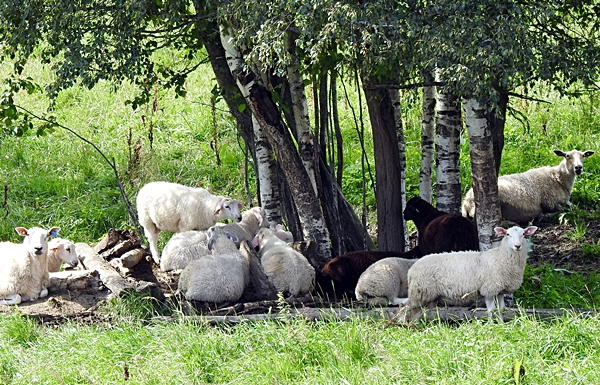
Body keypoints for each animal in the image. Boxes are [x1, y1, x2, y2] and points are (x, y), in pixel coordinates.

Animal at [400, 225, 536, 320]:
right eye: (507, 234)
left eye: (524, 234)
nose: (517, 246)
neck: (500, 257)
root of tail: (411, 269)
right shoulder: (488, 290)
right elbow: (491, 311)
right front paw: (492, 327)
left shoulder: (500, 291)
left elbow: (500, 310)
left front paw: (502, 325)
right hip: (419, 292)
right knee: (404, 307)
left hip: (427, 296)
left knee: (417, 312)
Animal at [462, 149, 592, 222]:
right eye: (567, 156)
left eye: (583, 156)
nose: (578, 168)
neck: (558, 178)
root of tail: (467, 201)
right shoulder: (550, 202)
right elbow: (566, 209)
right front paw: (544, 215)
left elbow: (573, 207)